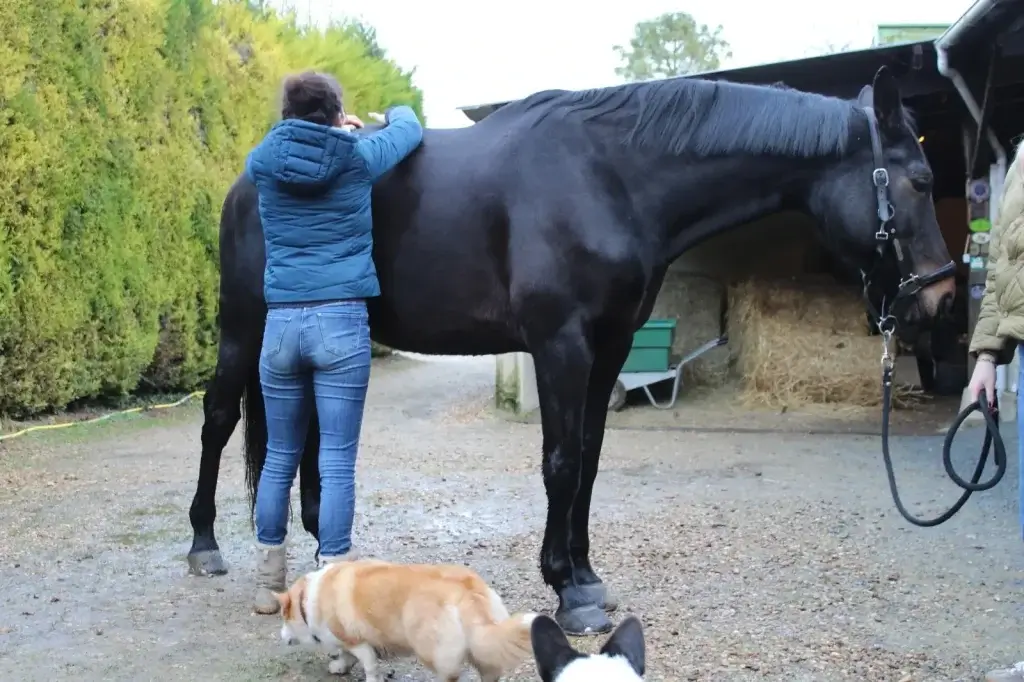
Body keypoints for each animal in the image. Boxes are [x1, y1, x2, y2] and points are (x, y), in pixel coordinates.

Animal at [186, 66, 956, 635]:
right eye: (919, 181)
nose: (943, 295)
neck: (612, 177)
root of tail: (245, 178)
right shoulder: (561, 344)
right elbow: (559, 462)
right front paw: (566, 592)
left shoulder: (608, 348)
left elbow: (588, 458)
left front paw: (584, 576)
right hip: (243, 329)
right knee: (219, 422)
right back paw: (204, 547)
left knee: (313, 436)